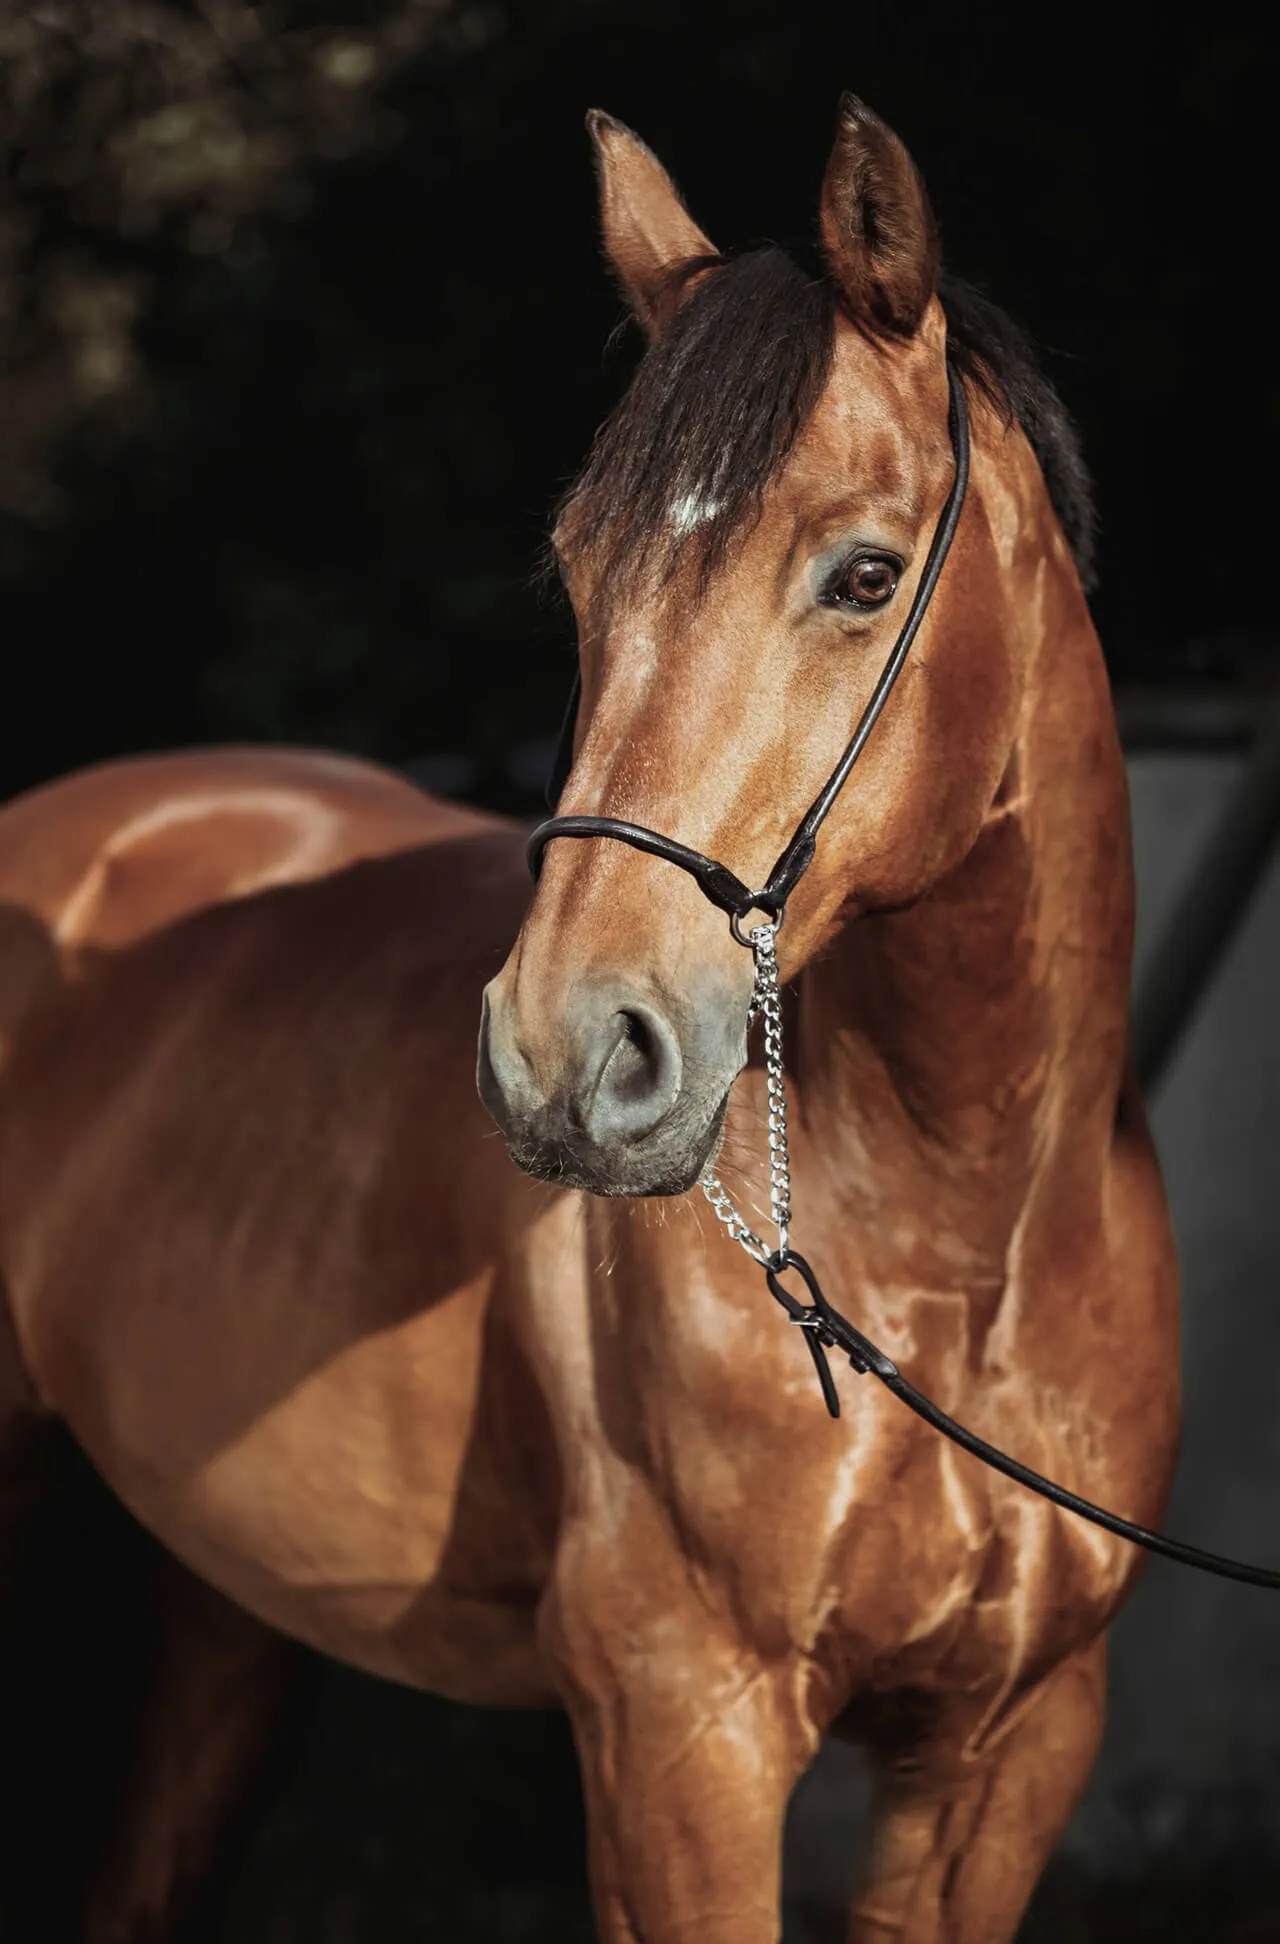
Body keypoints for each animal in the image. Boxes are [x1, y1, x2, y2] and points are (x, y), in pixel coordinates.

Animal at [0, 96, 1179, 1942]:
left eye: (863, 574)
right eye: (578, 573)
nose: (560, 1060)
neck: (959, 1252)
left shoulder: (1010, 1748)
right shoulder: (680, 1730)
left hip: (224, 1614)